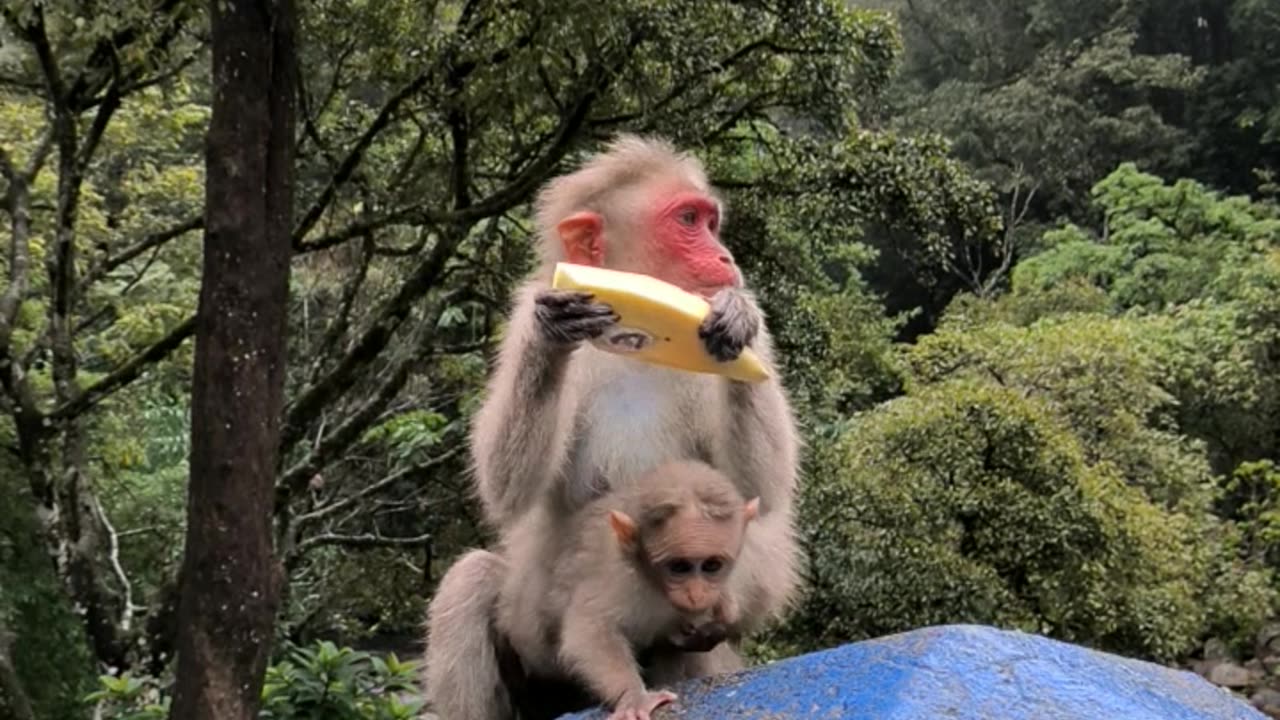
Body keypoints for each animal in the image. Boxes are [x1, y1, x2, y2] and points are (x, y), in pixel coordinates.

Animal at [496, 458, 757, 717]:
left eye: (712, 565)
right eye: (679, 567)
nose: (696, 595)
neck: (655, 586)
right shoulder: (615, 577)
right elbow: (589, 631)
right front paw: (633, 698)